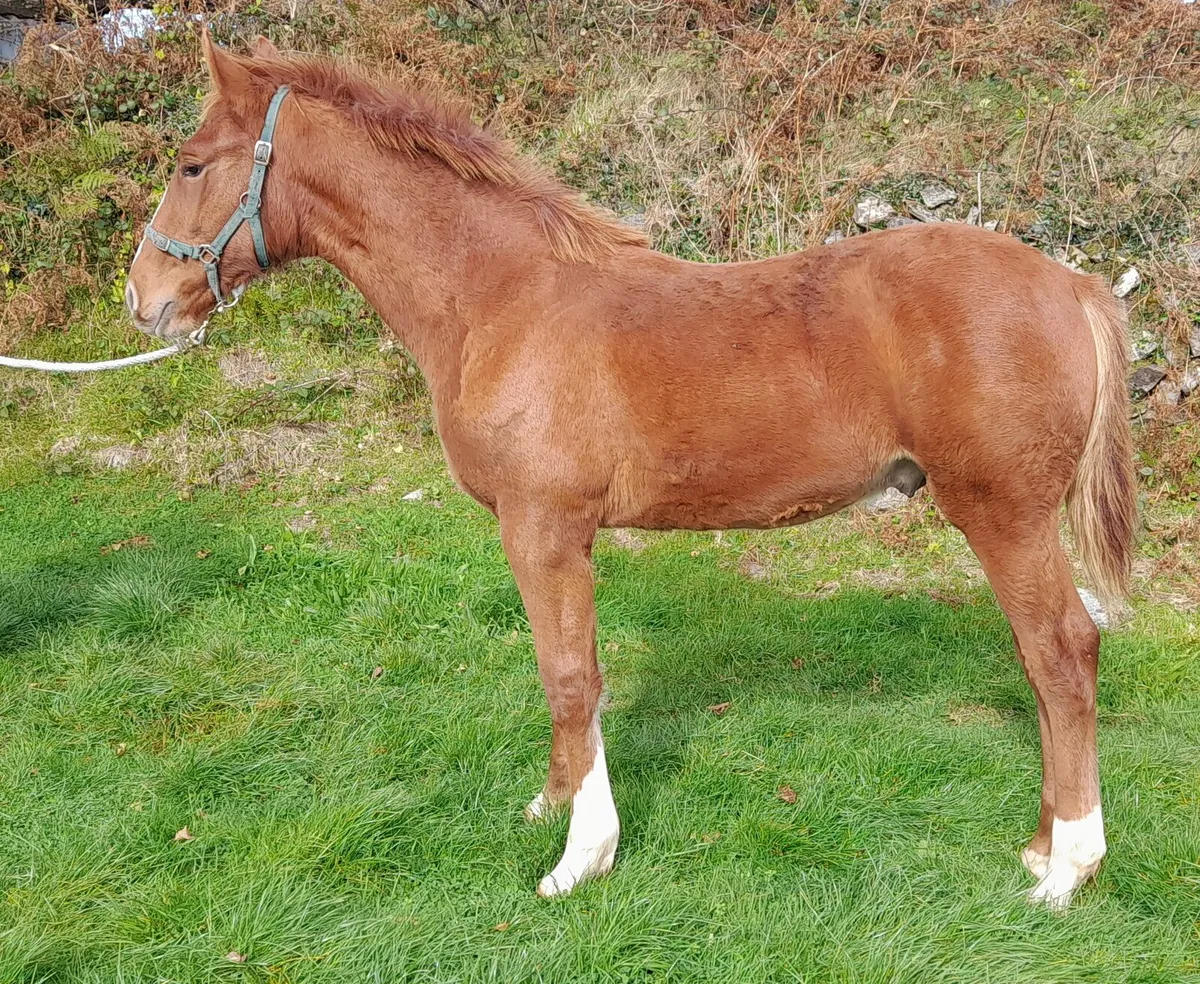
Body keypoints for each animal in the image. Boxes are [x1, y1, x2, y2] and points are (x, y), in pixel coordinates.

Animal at [125, 31, 1136, 907]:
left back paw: (1067, 869)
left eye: (191, 163)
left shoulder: (542, 527)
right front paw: (552, 805)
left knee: (1061, 652)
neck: (501, 298)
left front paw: (582, 857)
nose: (142, 299)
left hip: (1002, 513)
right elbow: (570, 676)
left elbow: (571, 675)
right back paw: (1041, 844)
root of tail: (1071, 285)